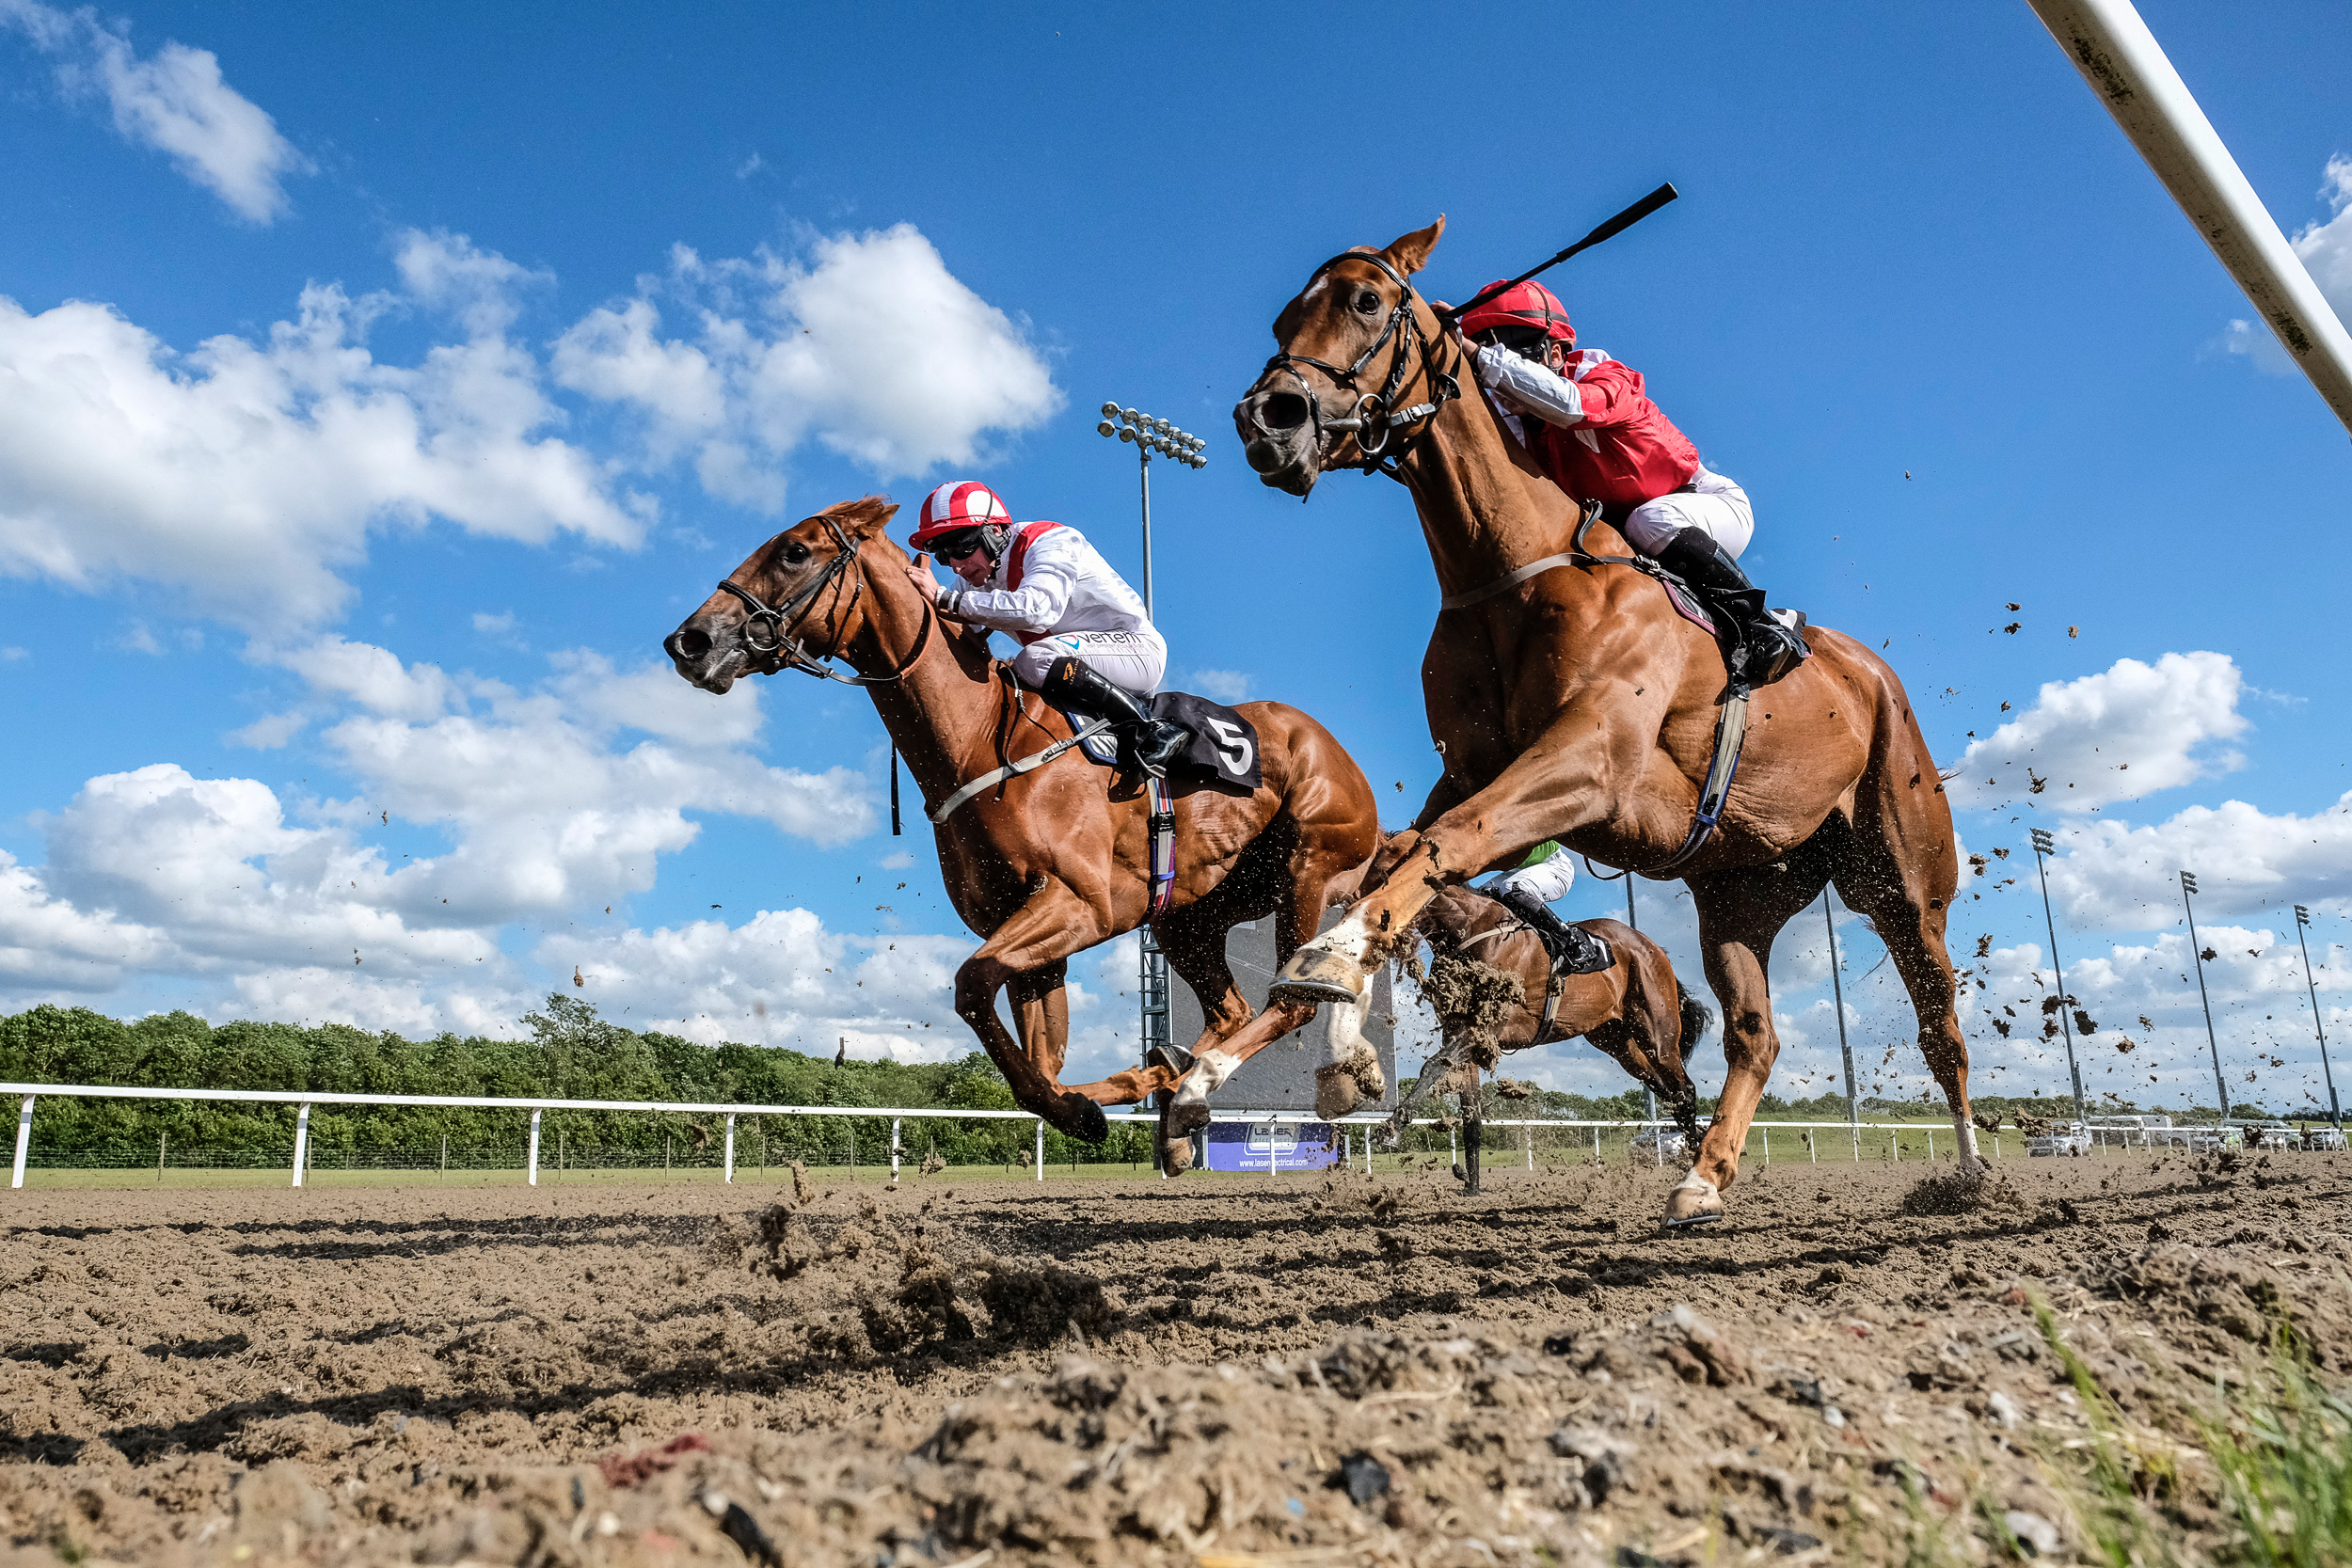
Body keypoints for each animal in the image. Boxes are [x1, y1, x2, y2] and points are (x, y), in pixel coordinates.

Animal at [662, 496, 1385, 1163]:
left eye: (794, 551)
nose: (689, 642)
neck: (984, 740)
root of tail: (1338, 753)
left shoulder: (1083, 904)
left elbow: (972, 985)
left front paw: (1076, 1111)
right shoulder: (1029, 932)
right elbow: (1040, 1052)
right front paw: (1080, 1103)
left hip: (1306, 870)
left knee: (1290, 1001)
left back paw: (1184, 1083)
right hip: (1191, 915)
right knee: (1229, 1011)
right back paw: (1176, 1089)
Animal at [1398, 884, 1710, 1194]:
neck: (1470, 931)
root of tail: (1653, 947)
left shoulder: (1483, 1029)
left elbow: (1432, 1065)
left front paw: (1393, 1126)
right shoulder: (1459, 1032)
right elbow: (1469, 1112)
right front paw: (1472, 1186)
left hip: (1658, 1035)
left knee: (1685, 1091)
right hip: (1620, 1044)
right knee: (1671, 1094)